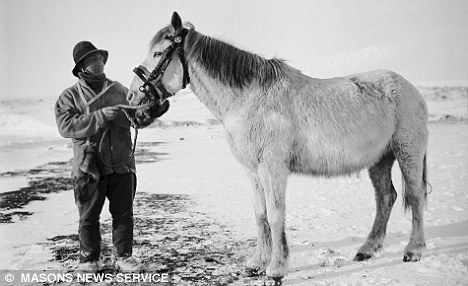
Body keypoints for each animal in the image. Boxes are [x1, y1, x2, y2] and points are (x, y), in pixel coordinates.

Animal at [126, 12, 430, 282]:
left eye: (158, 53)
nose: (131, 99)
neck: (250, 99)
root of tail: (410, 89)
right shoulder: (253, 170)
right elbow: (260, 215)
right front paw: (257, 263)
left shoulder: (272, 168)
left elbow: (274, 215)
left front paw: (276, 268)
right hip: (380, 159)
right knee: (386, 198)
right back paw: (367, 249)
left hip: (407, 153)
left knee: (414, 196)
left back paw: (413, 250)